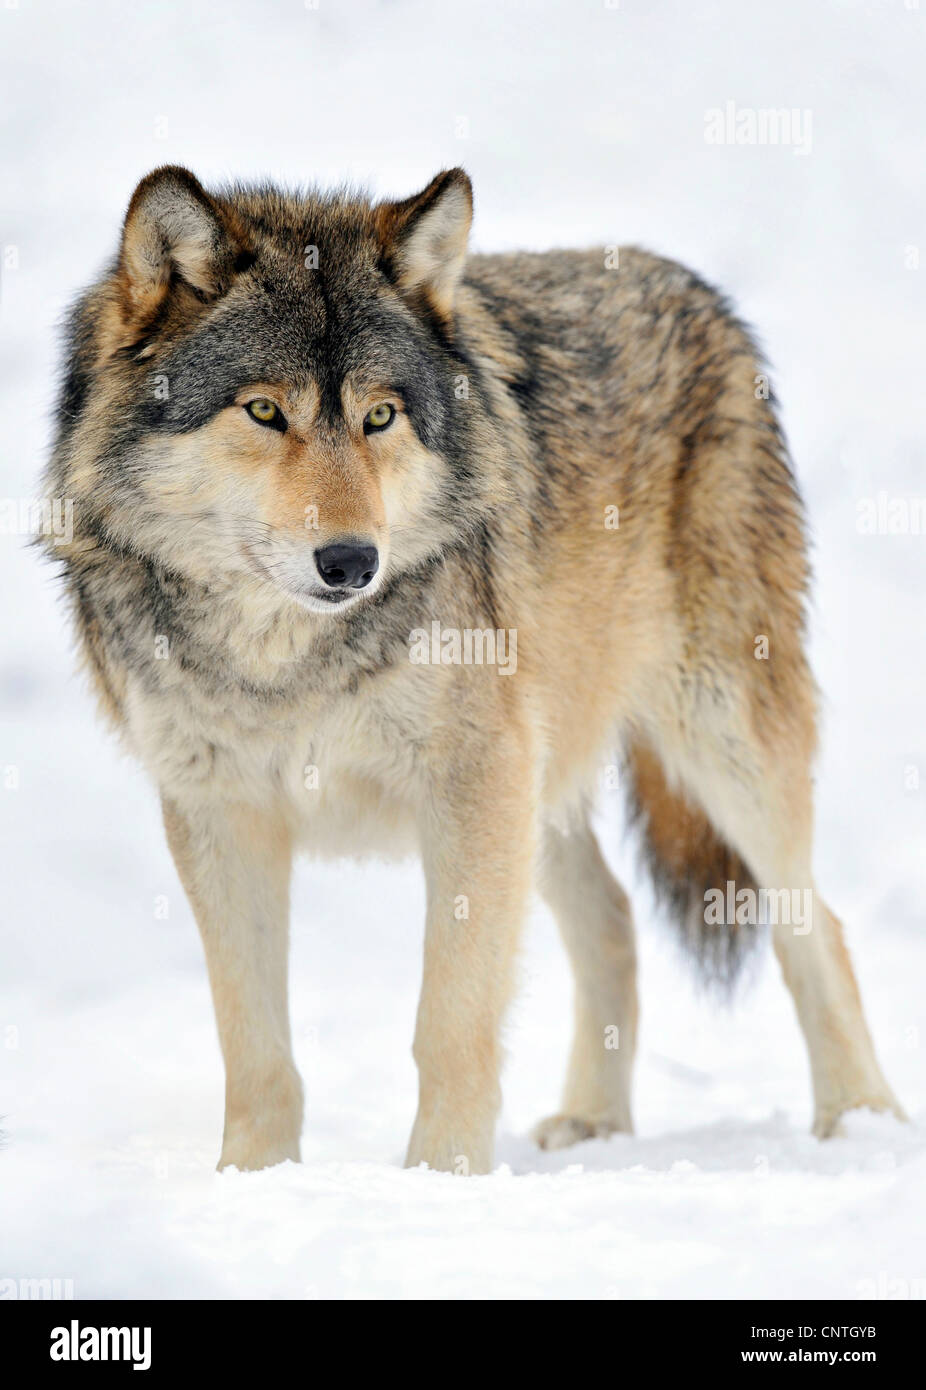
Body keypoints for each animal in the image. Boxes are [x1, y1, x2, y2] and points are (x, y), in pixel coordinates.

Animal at [40, 165, 904, 1172]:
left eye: (380, 417)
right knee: (615, 921)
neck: (286, 660)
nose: (352, 563)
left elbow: (450, 1023)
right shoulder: (220, 813)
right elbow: (254, 1047)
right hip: (545, 778)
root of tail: (695, 289)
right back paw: (594, 1122)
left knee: (815, 925)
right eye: (264, 411)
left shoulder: (472, 785)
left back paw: (860, 1119)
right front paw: (252, 1183)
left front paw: (442, 1181)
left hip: (718, 745)